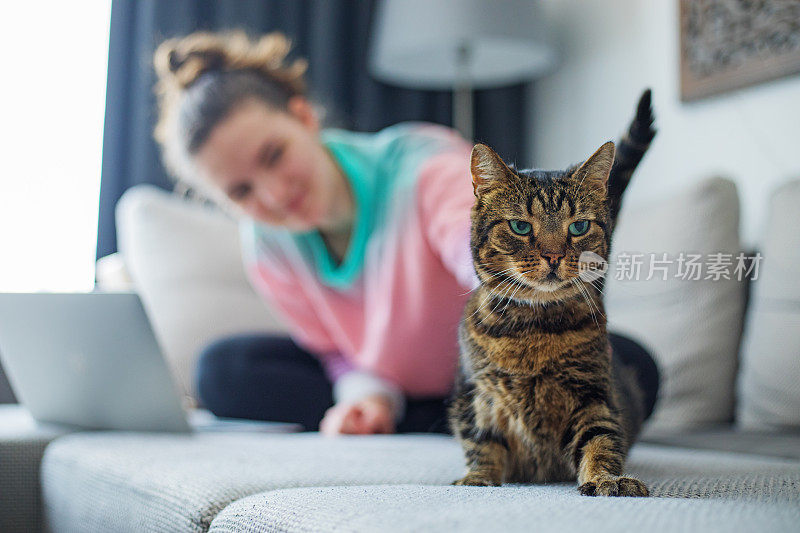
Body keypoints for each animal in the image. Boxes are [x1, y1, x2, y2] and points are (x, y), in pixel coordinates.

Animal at [450, 90, 656, 494]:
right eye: (519, 226)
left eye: (578, 227)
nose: (554, 255)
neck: (534, 327)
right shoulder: (476, 395)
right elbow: (481, 442)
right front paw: (479, 479)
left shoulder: (592, 392)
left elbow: (600, 438)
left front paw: (606, 479)